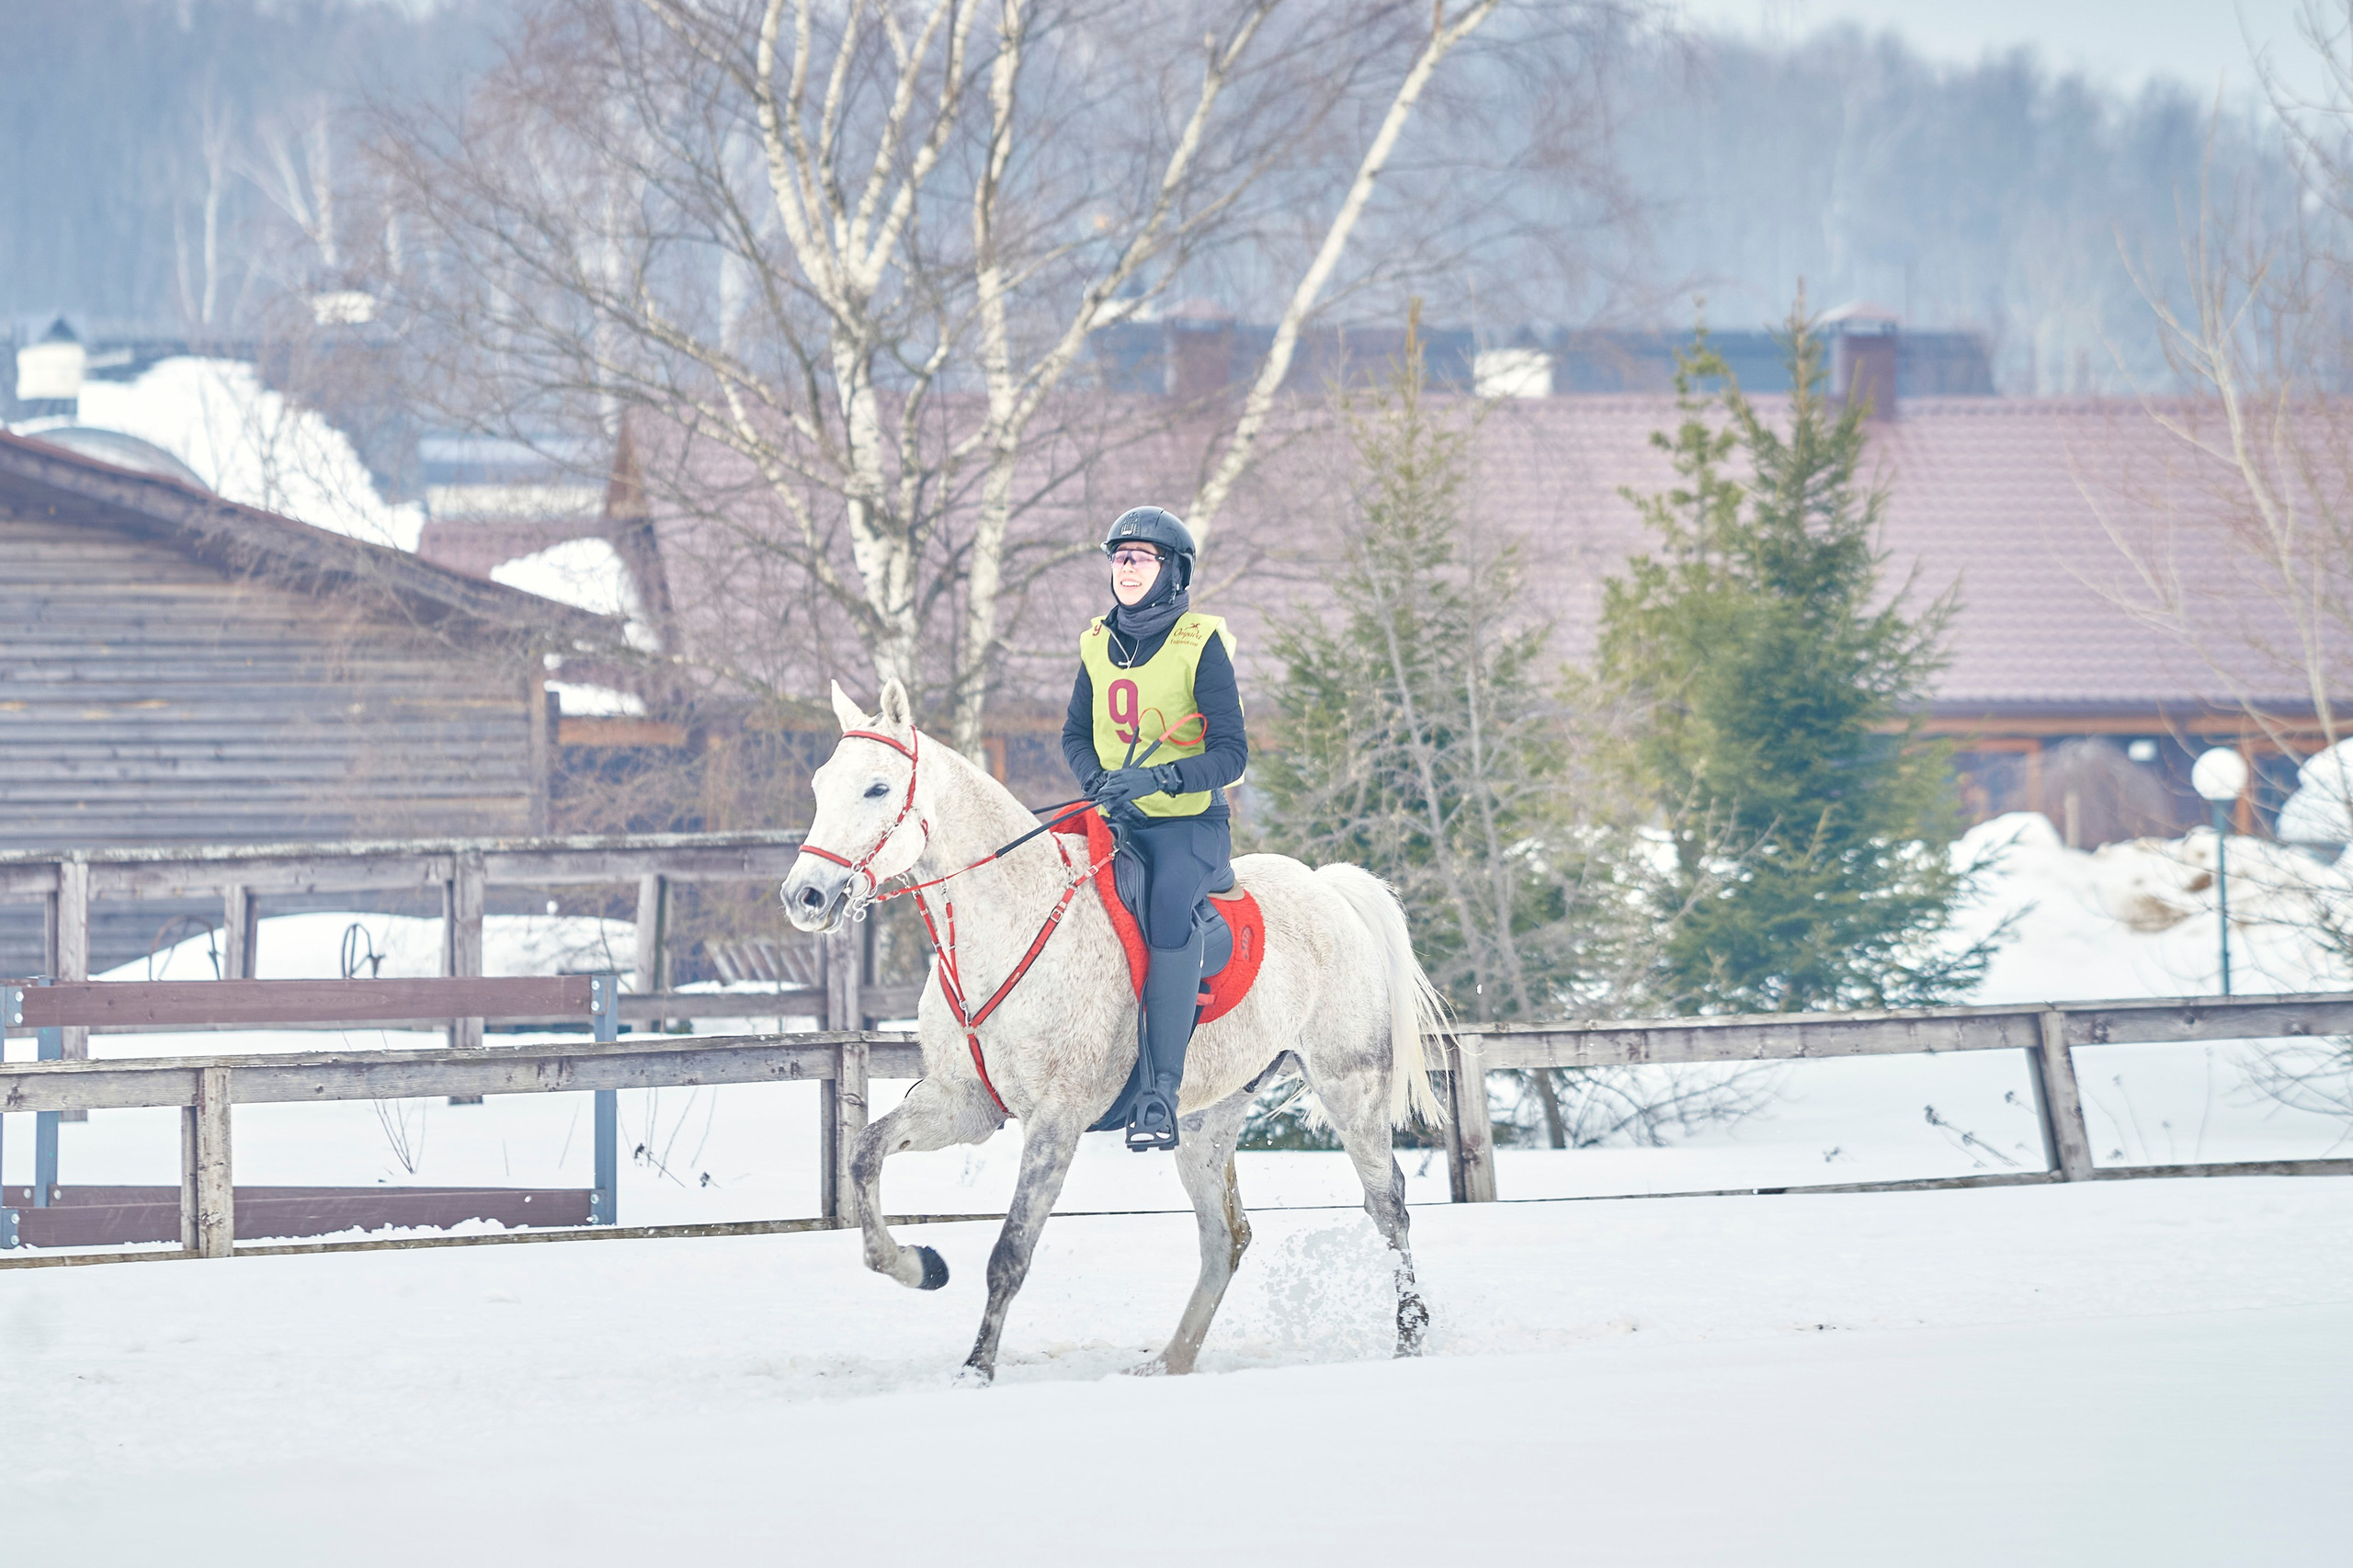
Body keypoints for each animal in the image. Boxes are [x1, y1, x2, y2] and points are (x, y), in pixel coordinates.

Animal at [779, 677, 1449, 1383]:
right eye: (822, 784)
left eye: (877, 788)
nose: (805, 897)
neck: (1009, 919)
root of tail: (1327, 887)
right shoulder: (964, 1106)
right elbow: (864, 1153)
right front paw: (917, 1266)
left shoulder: (1057, 1118)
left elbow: (1011, 1249)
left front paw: (977, 1369)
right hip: (1206, 1120)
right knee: (1225, 1236)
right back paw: (1171, 1361)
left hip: (1351, 1088)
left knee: (1387, 1205)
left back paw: (1409, 1334)